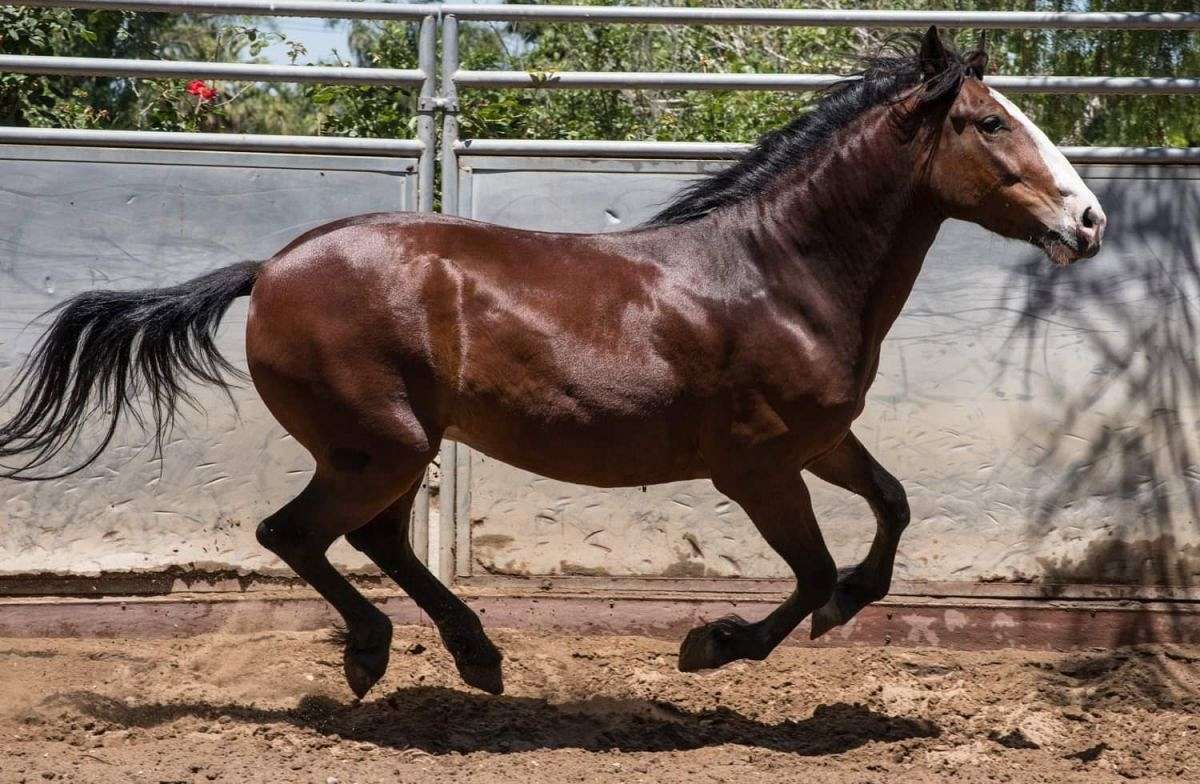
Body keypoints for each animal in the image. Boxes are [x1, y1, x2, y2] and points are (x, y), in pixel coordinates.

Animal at [0, 28, 1105, 698]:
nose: (1088, 220)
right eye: (991, 122)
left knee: (372, 539)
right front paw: (714, 645)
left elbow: (892, 510)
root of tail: (269, 268)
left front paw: (837, 612)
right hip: (379, 445)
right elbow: (813, 567)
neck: (779, 272)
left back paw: (474, 655)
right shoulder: (756, 466)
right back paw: (381, 654)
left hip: (389, 450)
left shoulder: (821, 441)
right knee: (299, 534)